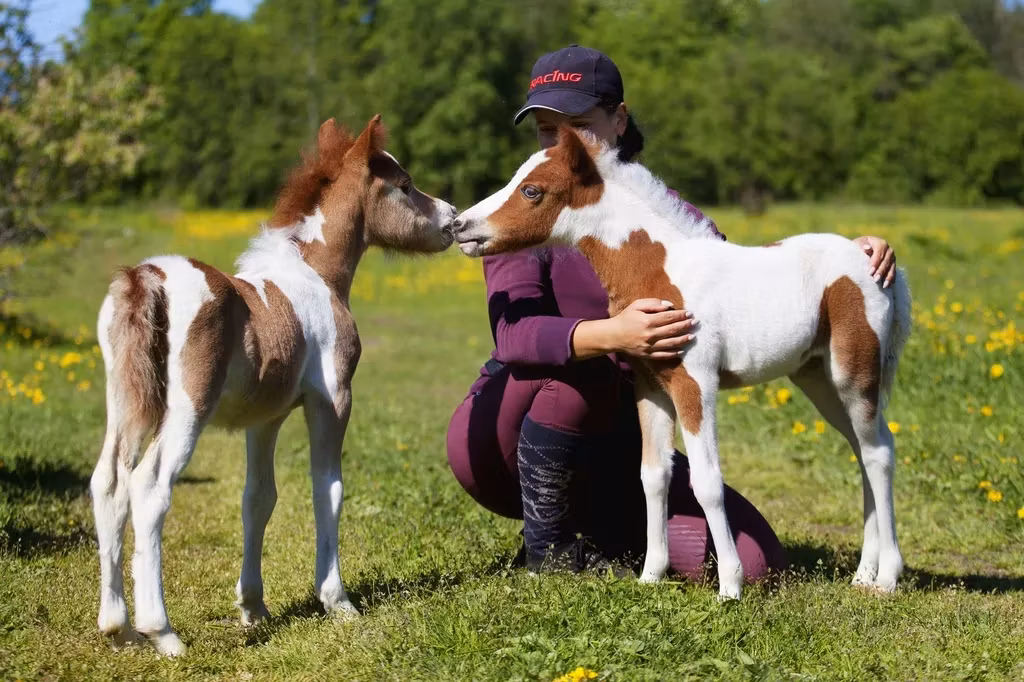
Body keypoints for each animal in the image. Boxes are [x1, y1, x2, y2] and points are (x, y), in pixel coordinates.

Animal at [90, 115, 456, 655]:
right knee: (149, 487)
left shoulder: (264, 419)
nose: (452, 219)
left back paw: (119, 627)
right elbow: (328, 488)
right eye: (406, 185)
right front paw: (337, 601)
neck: (316, 275)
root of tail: (145, 278)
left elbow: (258, 499)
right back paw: (163, 632)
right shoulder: (333, 399)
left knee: (109, 482)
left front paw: (253, 607)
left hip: (126, 403)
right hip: (187, 410)